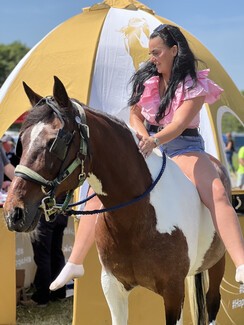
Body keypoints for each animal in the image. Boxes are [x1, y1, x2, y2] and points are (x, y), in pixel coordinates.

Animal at [3, 76, 227, 324]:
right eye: (22, 141)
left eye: (55, 142)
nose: (14, 212)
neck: (138, 218)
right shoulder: (113, 287)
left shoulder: (173, 292)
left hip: (217, 264)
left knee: (213, 302)